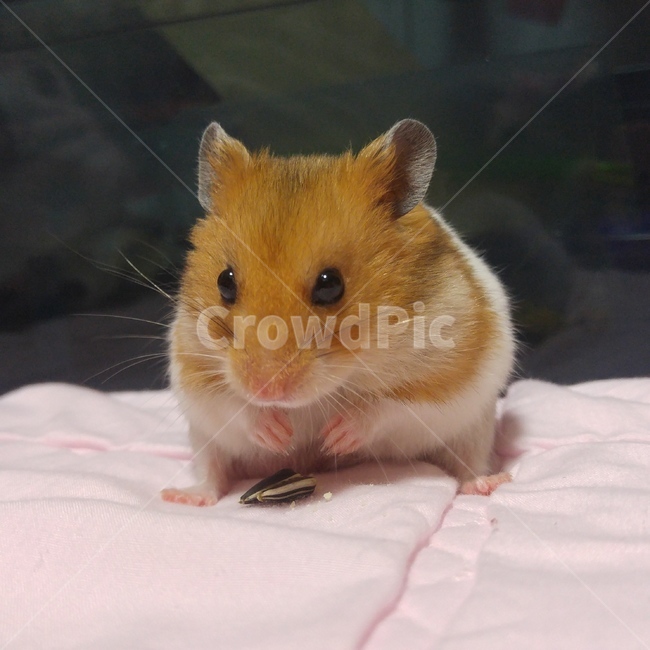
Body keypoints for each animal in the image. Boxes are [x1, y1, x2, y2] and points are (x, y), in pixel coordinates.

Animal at [161, 119, 515, 506]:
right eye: (224, 282)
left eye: (330, 285)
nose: (266, 391)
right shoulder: (194, 373)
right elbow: (232, 405)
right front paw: (280, 434)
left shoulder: (447, 379)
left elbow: (390, 406)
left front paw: (333, 438)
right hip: (202, 439)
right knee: (212, 473)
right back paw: (183, 496)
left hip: (476, 427)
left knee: (469, 463)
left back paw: (488, 484)